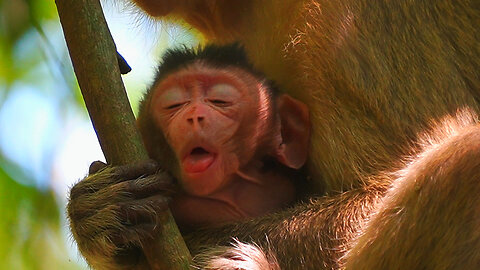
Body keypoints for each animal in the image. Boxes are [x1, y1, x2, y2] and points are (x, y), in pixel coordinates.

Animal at [73, 0, 478, 270]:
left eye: (221, 101)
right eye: (174, 104)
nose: (193, 117)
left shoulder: (344, 28)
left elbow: (376, 193)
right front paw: (95, 213)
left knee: (464, 162)